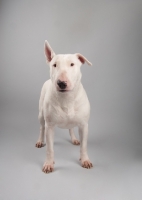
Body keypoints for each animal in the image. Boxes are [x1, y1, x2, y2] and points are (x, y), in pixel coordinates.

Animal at [35, 39, 93, 173]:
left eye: (72, 64)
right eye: (54, 65)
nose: (61, 83)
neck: (67, 99)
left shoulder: (84, 125)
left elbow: (84, 146)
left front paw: (85, 160)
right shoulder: (50, 126)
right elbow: (50, 148)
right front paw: (49, 164)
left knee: (71, 127)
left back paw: (74, 139)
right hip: (41, 115)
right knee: (41, 128)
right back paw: (40, 141)